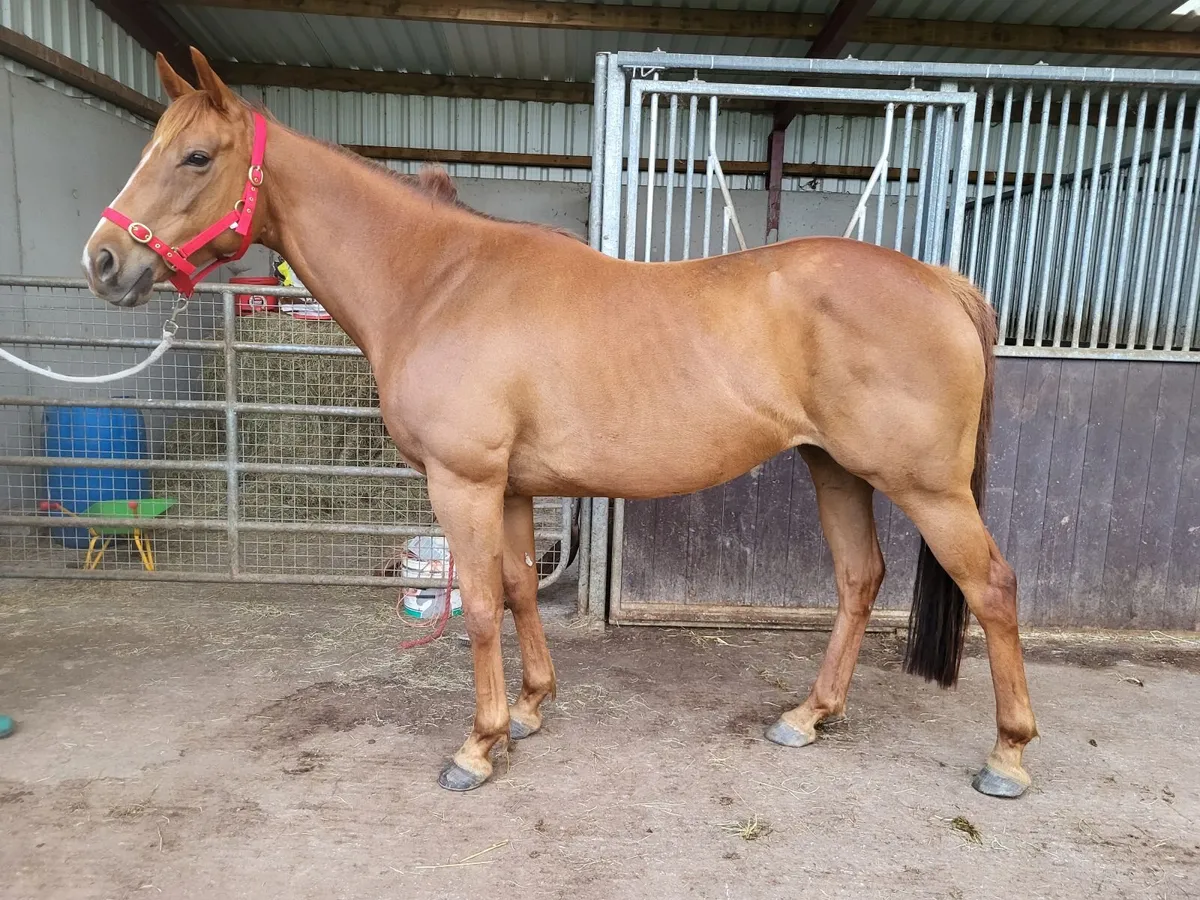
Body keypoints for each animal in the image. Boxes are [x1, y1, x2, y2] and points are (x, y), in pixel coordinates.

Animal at [81, 48, 1037, 797]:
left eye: (196, 156)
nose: (103, 261)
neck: (439, 281)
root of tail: (940, 281)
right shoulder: (509, 489)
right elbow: (514, 589)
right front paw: (531, 711)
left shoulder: (463, 483)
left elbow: (475, 608)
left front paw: (477, 746)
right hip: (833, 467)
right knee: (858, 580)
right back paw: (809, 715)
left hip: (927, 488)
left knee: (991, 587)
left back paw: (1008, 756)